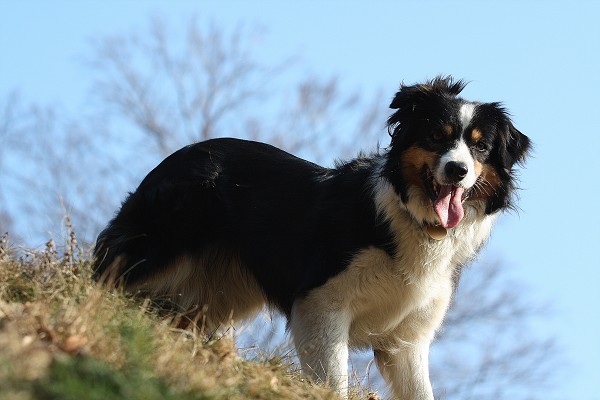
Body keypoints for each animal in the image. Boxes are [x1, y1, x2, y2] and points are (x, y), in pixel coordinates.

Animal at [92, 76, 528, 398]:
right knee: (108, 275)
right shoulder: (321, 302)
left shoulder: (407, 338)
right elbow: (333, 379)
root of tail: (176, 156)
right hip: (161, 244)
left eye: (480, 148)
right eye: (437, 136)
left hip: (219, 293)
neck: (413, 222)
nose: (457, 170)